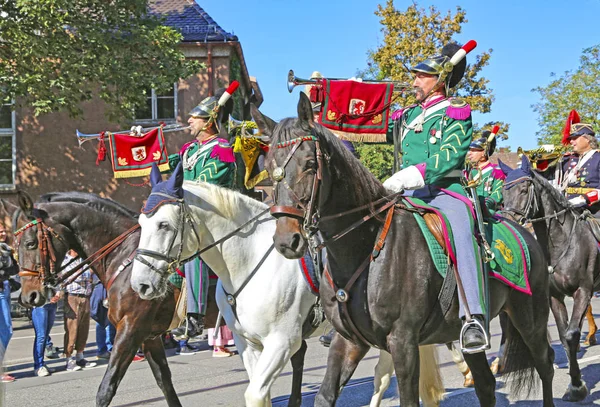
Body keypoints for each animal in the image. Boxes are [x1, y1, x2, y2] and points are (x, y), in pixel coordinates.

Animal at [15, 192, 182, 407]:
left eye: (30, 243)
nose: (29, 296)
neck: (125, 259)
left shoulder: (131, 330)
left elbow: (106, 389)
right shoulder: (148, 336)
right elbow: (164, 381)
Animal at [129, 167, 442, 406]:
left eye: (164, 225)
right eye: (141, 222)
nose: (140, 284)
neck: (250, 260)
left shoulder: (282, 342)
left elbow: (256, 394)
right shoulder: (248, 343)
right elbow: (261, 394)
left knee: (382, 375)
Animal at [251, 92, 556, 407]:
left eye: (310, 164)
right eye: (269, 167)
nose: (287, 240)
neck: (366, 249)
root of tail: (523, 231)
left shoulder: (403, 342)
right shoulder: (348, 340)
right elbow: (324, 396)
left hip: (530, 317)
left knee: (545, 363)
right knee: (485, 384)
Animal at [496, 155, 600, 402]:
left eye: (524, 189)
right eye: (503, 191)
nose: (505, 220)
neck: (562, 242)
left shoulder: (583, 290)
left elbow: (571, 334)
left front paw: (576, 386)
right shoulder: (554, 296)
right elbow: (564, 336)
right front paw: (575, 382)